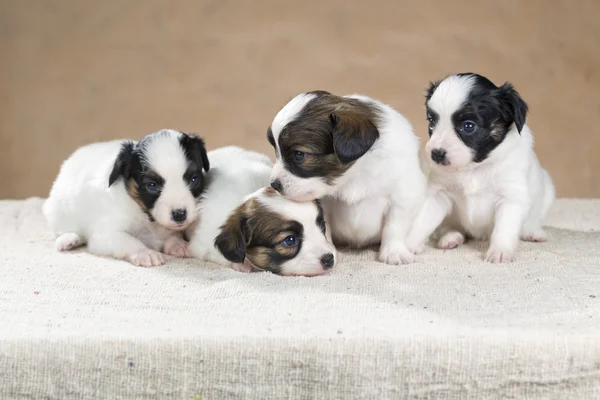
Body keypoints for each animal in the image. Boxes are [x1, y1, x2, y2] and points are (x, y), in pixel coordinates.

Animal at [43, 129, 210, 266]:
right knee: (62, 229)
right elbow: (129, 240)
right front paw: (145, 253)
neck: (145, 215)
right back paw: (68, 239)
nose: (179, 215)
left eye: (194, 179)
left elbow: (172, 236)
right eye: (151, 185)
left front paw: (179, 244)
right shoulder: (105, 234)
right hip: (58, 211)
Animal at [266, 91, 426, 266]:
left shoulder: (402, 196)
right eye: (276, 151)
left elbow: (395, 226)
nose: (274, 184)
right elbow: (324, 229)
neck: (352, 177)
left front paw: (394, 252)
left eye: (299, 154)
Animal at [406, 73, 556, 264]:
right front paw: (406, 245)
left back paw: (533, 233)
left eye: (468, 126)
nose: (436, 154)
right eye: (432, 121)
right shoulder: (437, 195)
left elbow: (504, 229)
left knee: (533, 221)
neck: (474, 168)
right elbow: (421, 221)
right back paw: (451, 237)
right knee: (447, 227)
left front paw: (499, 252)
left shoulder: (511, 197)